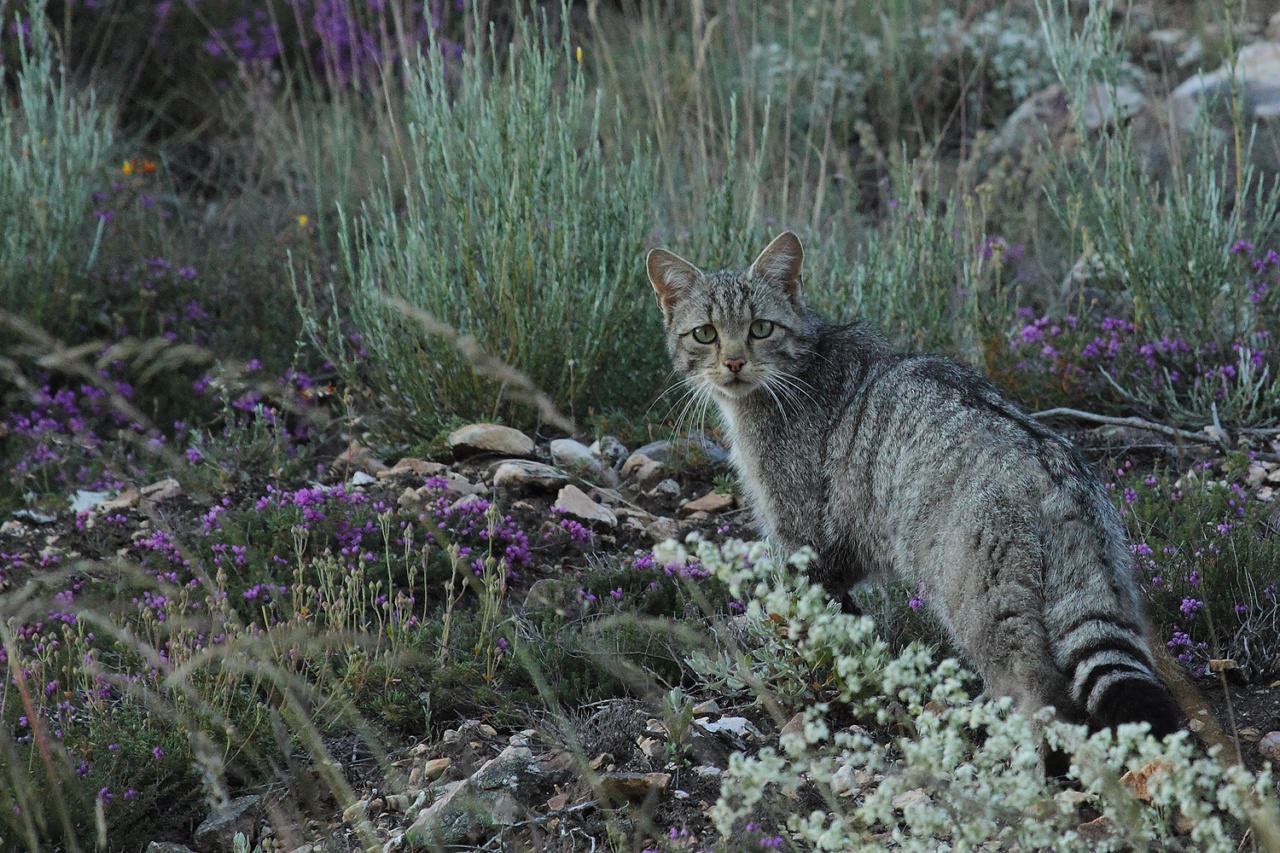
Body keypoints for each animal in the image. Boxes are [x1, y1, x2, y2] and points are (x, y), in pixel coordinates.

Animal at [650, 230, 1177, 732]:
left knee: (1033, 686)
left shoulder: (804, 538)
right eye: (705, 334)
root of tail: (1055, 470)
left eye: (760, 328)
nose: (734, 362)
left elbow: (804, 616)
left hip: (982, 602)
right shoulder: (843, 549)